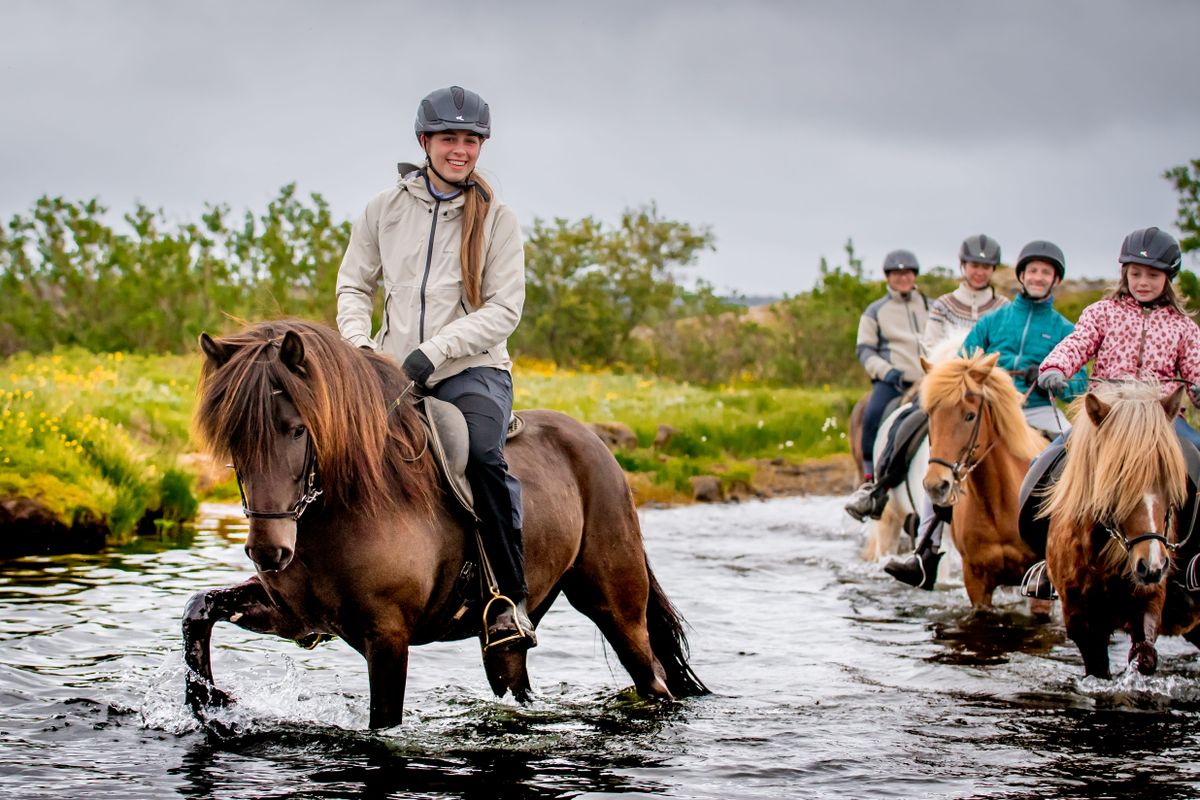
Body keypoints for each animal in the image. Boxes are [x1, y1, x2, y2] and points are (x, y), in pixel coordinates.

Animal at [182, 319, 708, 729]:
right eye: (233, 437)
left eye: (297, 430)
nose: (268, 552)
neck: (345, 508)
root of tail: (598, 446)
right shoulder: (294, 615)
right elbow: (198, 609)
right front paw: (207, 700)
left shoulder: (388, 638)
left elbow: (383, 725)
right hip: (511, 636)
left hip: (615, 607)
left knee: (654, 678)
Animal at [1043, 382, 1192, 678]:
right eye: (1118, 480)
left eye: (1168, 478)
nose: (1152, 565)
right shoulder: (1080, 619)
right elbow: (1098, 669)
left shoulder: (1149, 601)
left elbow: (1145, 656)